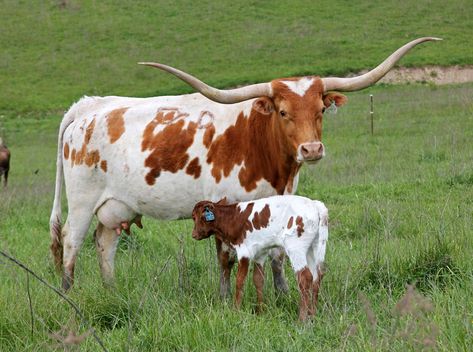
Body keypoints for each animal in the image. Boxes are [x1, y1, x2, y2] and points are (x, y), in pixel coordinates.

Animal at [48, 36, 438, 292]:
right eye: (283, 112)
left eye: (320, 110)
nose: (312, 149)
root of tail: (90, 106)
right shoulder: (222, 206)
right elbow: (226, 259)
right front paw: (224, 300)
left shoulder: (278, 202)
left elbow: (278, 256)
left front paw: (282, 294)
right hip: (81, 201)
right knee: (70, 243)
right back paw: (70, 297)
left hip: (117, 206)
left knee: (104, 243)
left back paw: (112, 293)